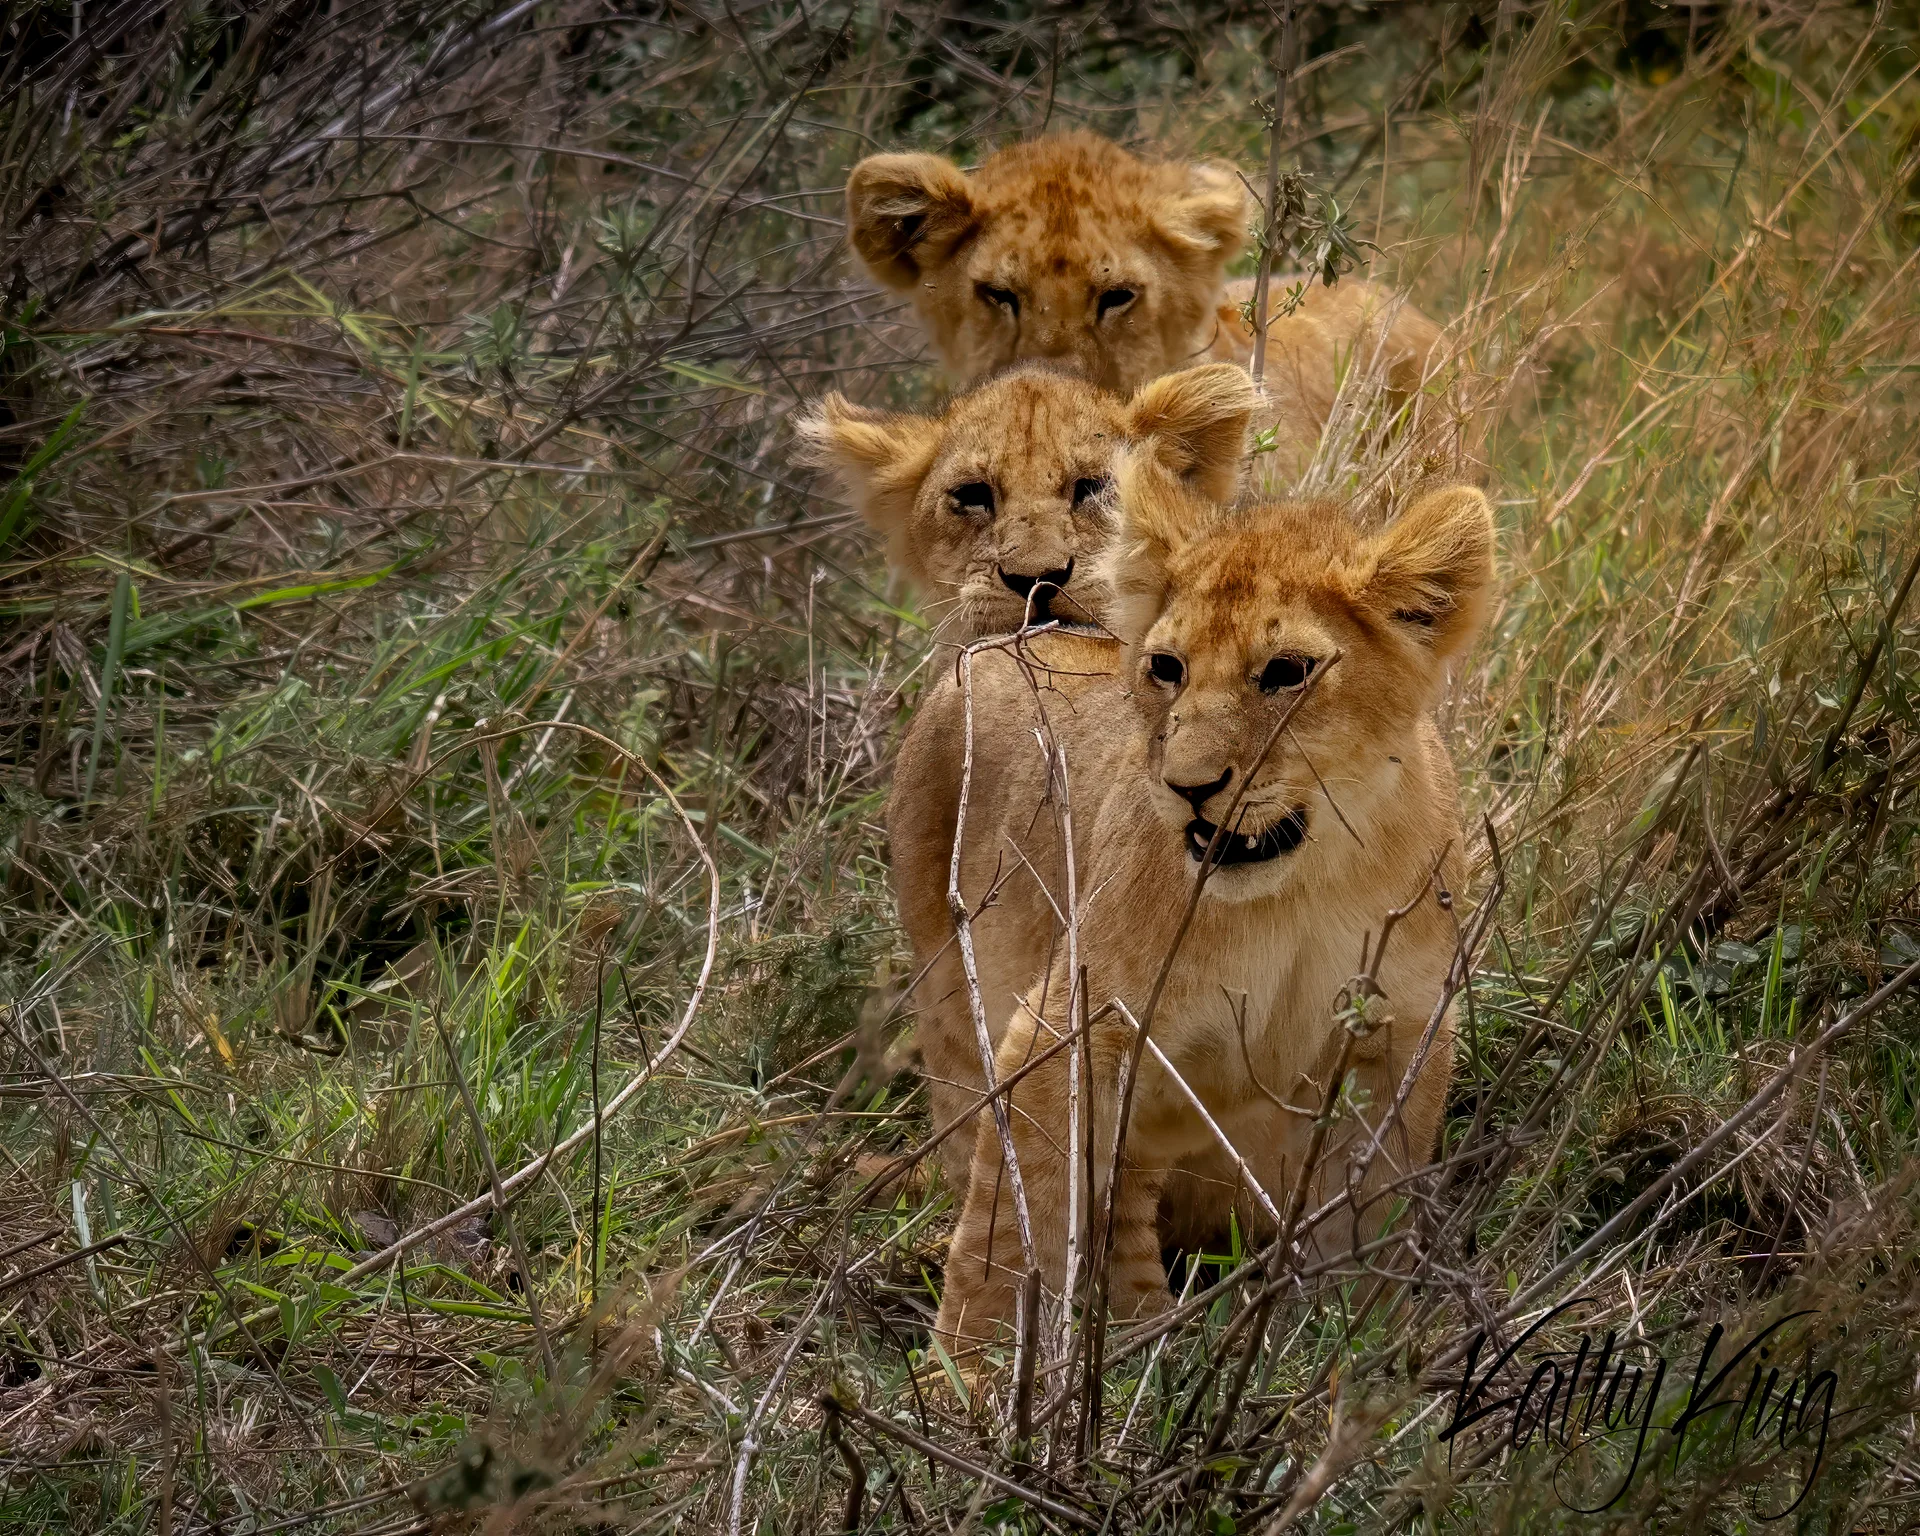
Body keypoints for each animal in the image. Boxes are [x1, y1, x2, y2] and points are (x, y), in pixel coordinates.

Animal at [909, 456, 1494, 1358]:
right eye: (1167, 668)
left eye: (1287, 672)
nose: (1188, 785)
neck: (1304, 886)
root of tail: (1014, 638)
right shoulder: (1068, 1025)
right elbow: (1013, 1216)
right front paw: (972, 1368)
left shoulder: (1399, 1033)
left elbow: (1368, 1209)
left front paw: (1346, 1344)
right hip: (946, 989)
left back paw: (1141, 1320)